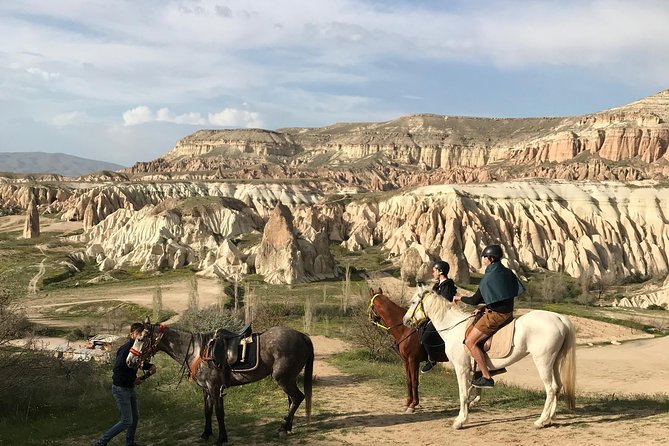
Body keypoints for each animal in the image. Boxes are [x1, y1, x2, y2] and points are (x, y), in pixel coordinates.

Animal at [402, 286, 576, 428]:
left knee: (551, 389)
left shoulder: (461, 369)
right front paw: (467, 411)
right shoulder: (471, 371)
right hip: (554, 362)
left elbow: (463, 394)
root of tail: (559, 318)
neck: (453, 327)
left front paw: (460, 421)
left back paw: (541, 421)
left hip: (543, 362)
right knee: (557, 386)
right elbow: (469, 392)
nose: (405, 321)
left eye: (413, 302)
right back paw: (550, 418)